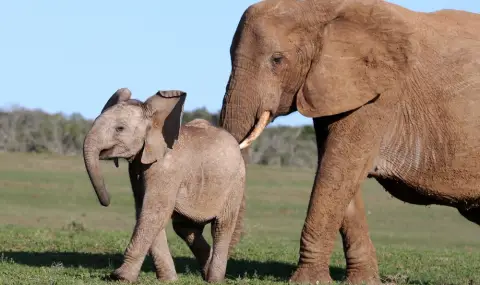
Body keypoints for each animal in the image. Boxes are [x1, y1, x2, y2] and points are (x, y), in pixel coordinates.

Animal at [82, 87, 246, 282]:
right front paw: (168, 280)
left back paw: (214, 279)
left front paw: (120, 277)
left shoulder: (166, 168)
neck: (154, 119)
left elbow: (154, 211)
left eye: (120, 128)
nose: (106, 201)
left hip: (236, 181)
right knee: (186, 228)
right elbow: (145, 211)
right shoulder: (137, 167)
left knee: (221, 227)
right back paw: (206, 273)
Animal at [218, 0, 480, 282]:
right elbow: (337, 174)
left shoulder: (378, 96)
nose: (215, 276)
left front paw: (309, 282)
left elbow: (338, 171)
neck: (327, 10)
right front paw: (363, 282)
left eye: (277, 60)